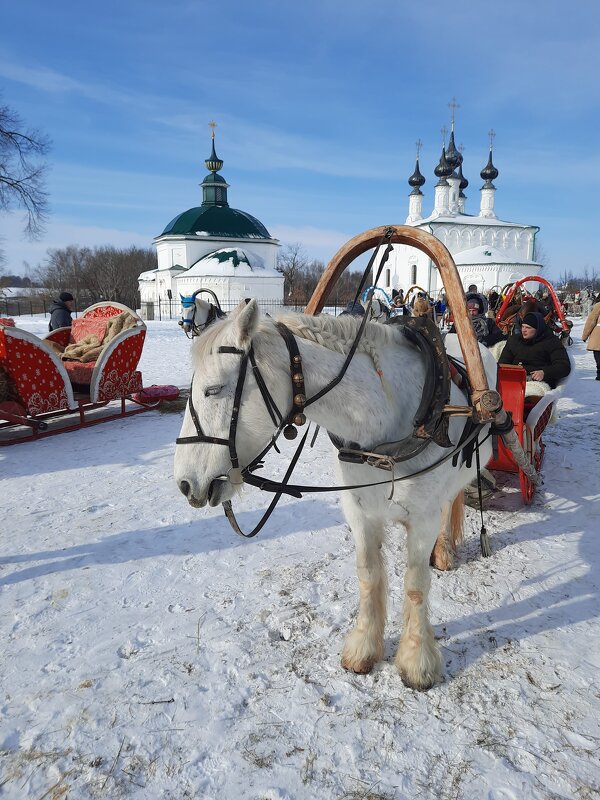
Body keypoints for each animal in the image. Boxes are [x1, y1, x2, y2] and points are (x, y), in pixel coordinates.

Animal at [175, 298, 496, 688]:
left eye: (213, 390)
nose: (185, 483)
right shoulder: (360, 512)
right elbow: (368, 575)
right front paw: (364, 647)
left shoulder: (422, 519)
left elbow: (416, 584)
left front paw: (417, 660)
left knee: (450, 501)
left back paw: (445, 550)